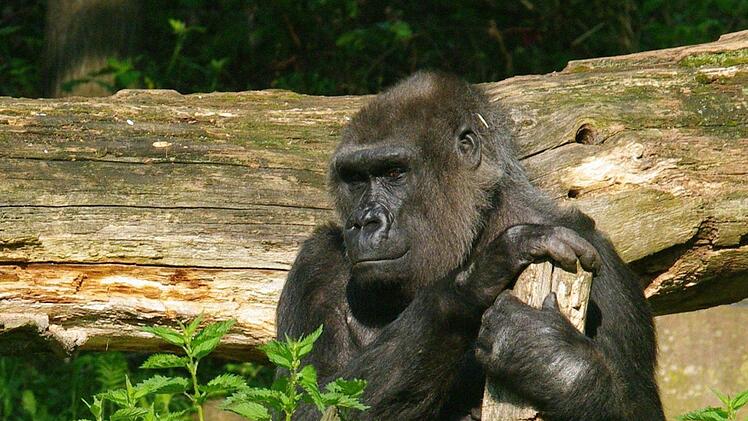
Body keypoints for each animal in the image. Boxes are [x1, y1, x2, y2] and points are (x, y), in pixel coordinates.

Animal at [276, 71, 664, 420]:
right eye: (355, 179)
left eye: (394, 173)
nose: (363, 222)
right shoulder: (315, 265)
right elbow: (309, 404)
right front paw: (473, 282)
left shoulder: (600, 259)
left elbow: (642, 407)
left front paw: (554, 360)